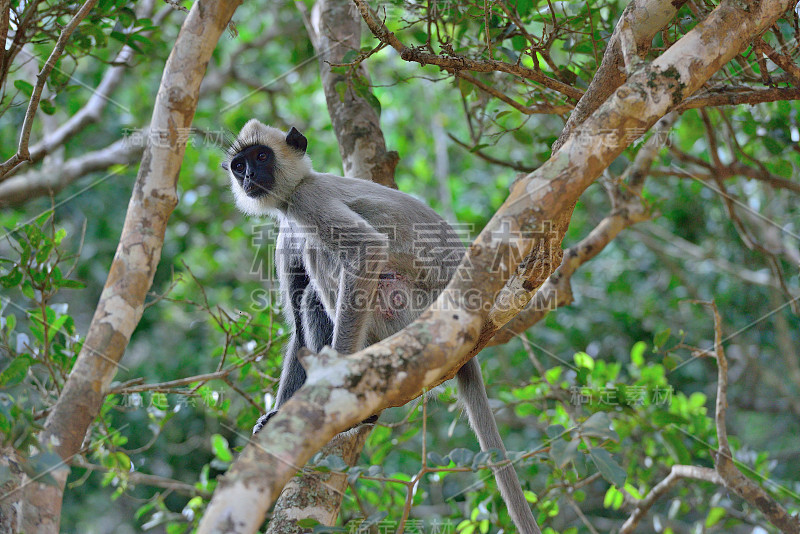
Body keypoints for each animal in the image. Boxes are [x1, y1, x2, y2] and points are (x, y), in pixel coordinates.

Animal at [222, 121, 540, 534]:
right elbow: (296, 327)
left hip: (404, 310)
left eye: (261, 157)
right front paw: (279, 417)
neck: (293, 193)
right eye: (239, 166)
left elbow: (366, 249)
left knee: (320, 258)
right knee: (310, 293)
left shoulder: (308, 200)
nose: (248, 177)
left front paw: (331, 385)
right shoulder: (286, 233)